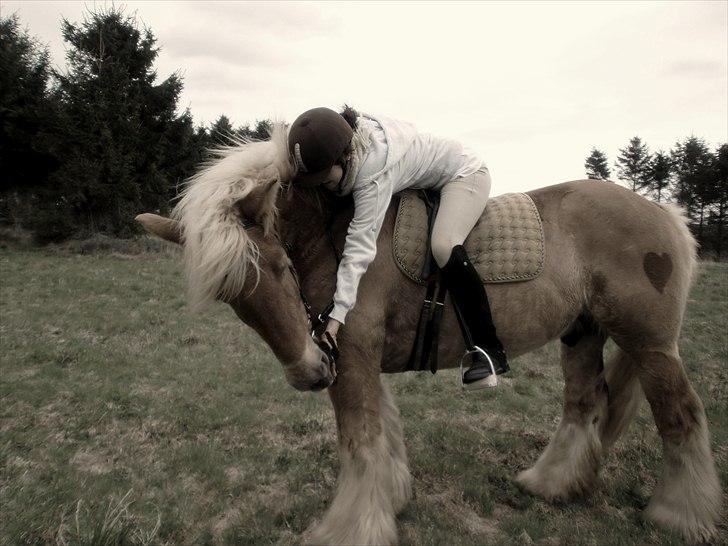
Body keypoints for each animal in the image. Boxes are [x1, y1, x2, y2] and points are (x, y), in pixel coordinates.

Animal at [136, 124, 724, 544]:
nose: (307, 372)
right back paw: (550, 485)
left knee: (681, 415)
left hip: (650, 346)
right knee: (584, 405)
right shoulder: (356, 358)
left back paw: (678, 515)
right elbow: (384, 434)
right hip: (581, 334)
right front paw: (389, 499)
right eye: (234, 301)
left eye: (281, 268)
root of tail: (664, 212)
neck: (335, 230)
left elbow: (360, 439)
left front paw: (348, 529)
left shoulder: (350, 355)